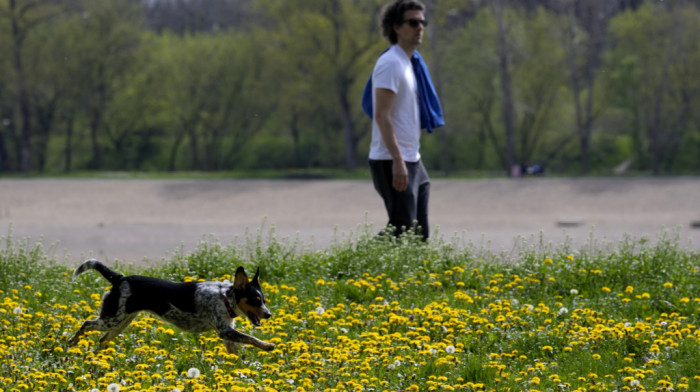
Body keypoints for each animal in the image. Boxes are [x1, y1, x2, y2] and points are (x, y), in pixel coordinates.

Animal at [68, 258, 274, 354]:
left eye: (263, 300)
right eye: (255, 300)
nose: (269, 315)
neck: (224, 297)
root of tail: (120, 278)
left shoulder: (227, 335)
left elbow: (237, 354)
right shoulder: (225, 331)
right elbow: (250, 338)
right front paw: (268, 346)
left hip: (122, 322)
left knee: (102, 339)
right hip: (112, 320)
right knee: (86, 324)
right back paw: (72, 343)